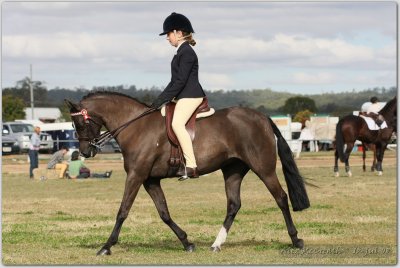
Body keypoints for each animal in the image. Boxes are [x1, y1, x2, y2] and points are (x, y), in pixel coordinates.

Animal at [65, 91, 310, 255]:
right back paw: (216, 244)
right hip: (232, 170)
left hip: (263, 168)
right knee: (234, 205)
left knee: (281, 198)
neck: (136, 127)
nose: (85, 151)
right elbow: (164, 213)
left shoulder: (136, 176)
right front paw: (187, 242)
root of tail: (263, 117)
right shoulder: (150, 180)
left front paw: (106, 246)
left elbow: (123, 210)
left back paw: (296, 239)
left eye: (79, 123)